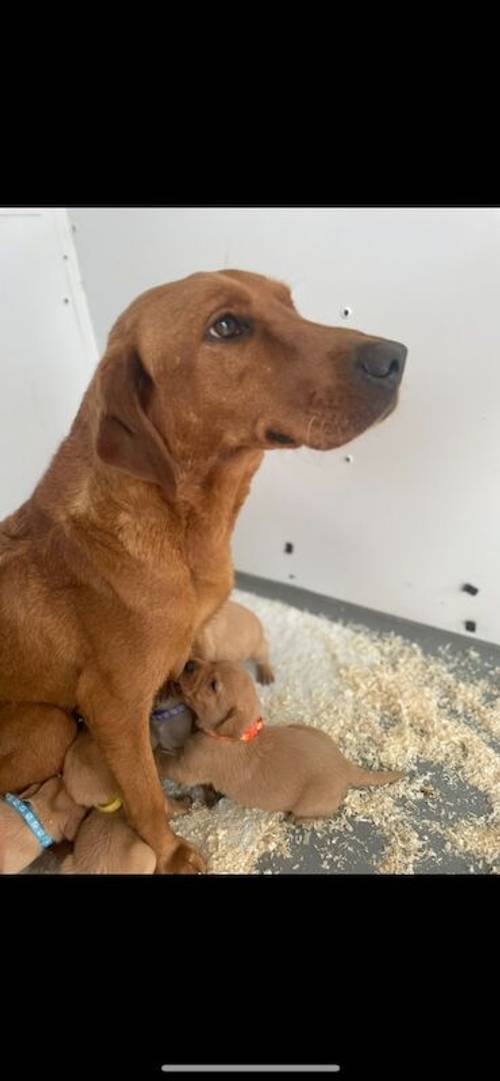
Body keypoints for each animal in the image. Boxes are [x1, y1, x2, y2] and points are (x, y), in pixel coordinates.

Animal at [0, 268, 406, 869]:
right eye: (226, 326)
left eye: (289, 302)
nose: (396, 356)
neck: (184, 526)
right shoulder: (114, 707)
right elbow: (146, 792)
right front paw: (171, 852)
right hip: (48, 725)